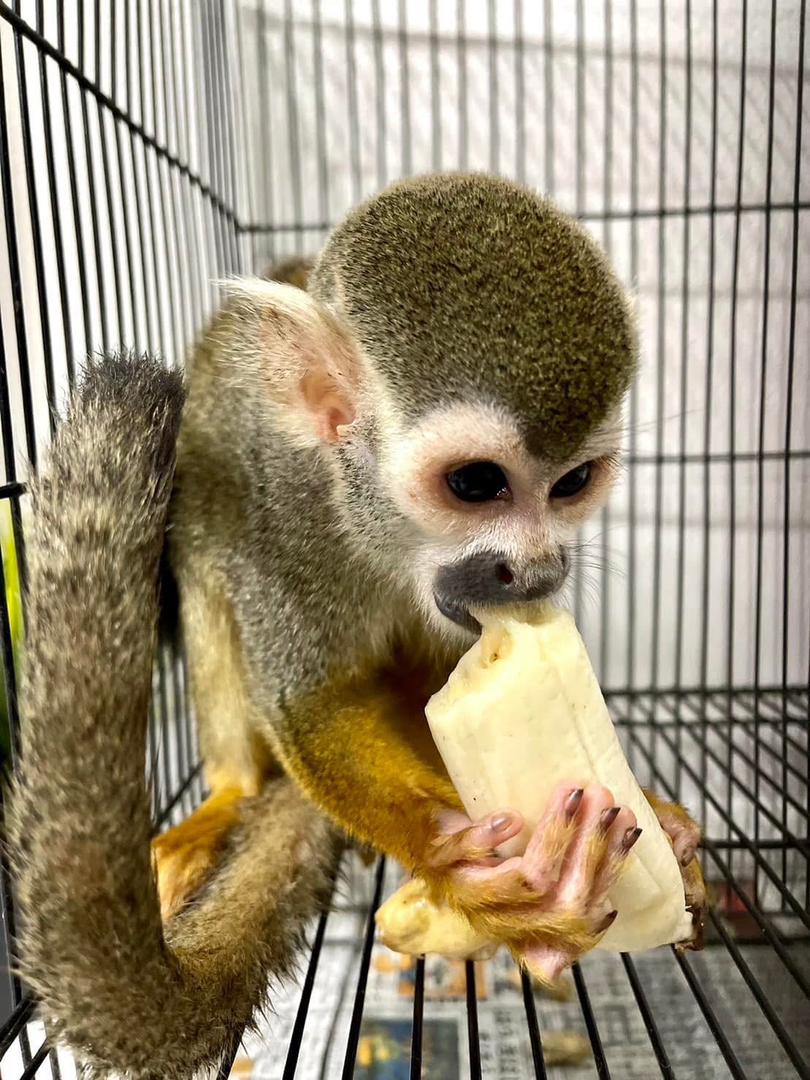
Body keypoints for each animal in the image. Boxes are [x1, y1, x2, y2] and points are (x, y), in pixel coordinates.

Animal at [10, 173, 706, 1079]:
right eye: (477, 484)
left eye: (573, 483)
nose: (538, 570)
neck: (375, 523)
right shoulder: (283, 511)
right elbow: (314, 705)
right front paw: (449, 854)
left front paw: (658, 818)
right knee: (205, 566)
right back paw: (232, 794)